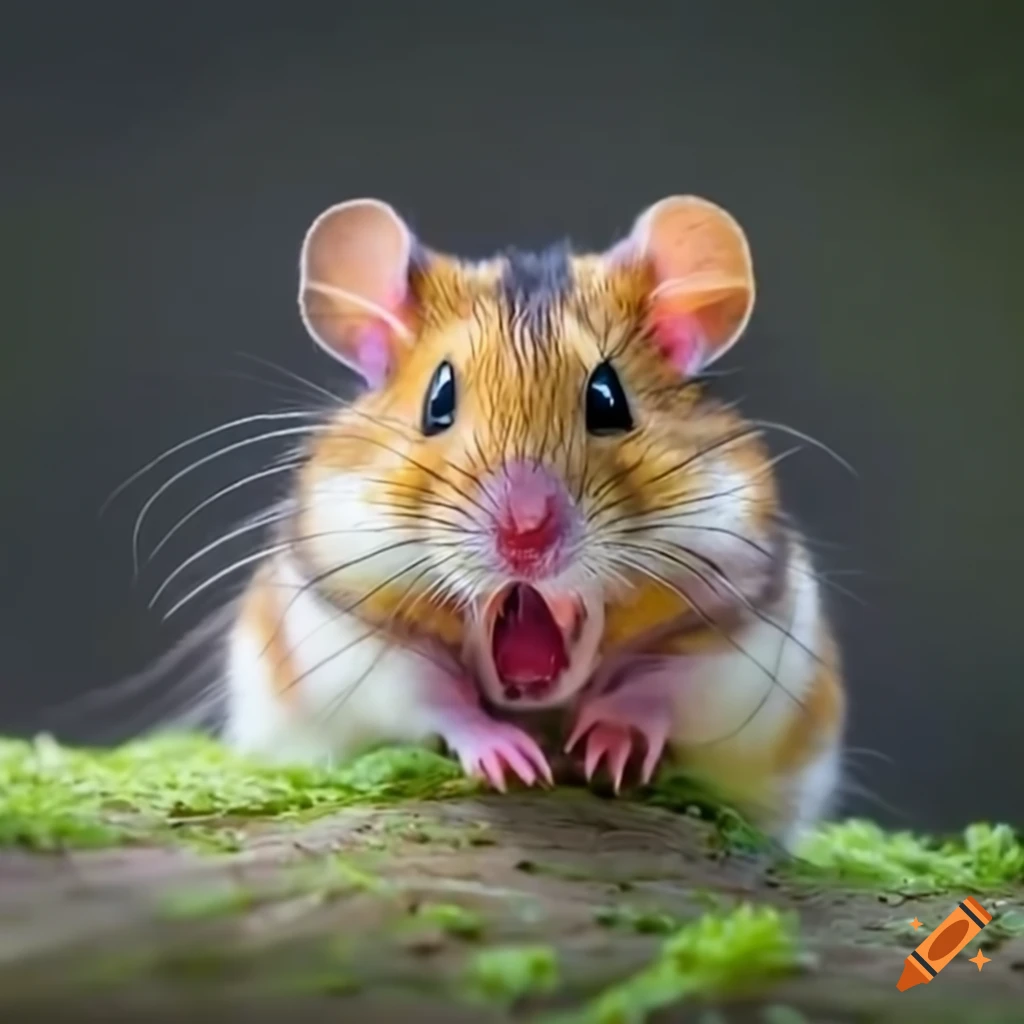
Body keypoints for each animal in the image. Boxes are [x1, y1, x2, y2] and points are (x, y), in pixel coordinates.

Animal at [221, 194, 845, 850]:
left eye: (608, 399)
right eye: (438, 400)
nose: (525, 537)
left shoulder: (738, 631)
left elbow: (657, 688)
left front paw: (607, 752)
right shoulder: (354, 627)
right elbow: (436, 698)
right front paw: (514, 762)